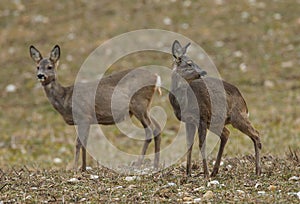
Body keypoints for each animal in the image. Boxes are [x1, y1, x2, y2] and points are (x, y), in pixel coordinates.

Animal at [29, 44, 162, 171]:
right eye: (37, 67)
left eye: (50, 66)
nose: (40, 75)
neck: (65, 98)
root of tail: (156, 77)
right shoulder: (85, 121)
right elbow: (84, 143)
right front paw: (83, 167)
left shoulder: (84, 117)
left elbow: (78, 143)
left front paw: (75, 168)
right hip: (145, 108)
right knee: (157, 127)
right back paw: (155, 165)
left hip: (138, 104)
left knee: (150, 130)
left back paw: (138, 164)